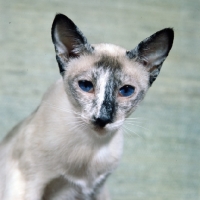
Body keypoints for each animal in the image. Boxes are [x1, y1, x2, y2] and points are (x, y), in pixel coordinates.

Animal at [0, 13, 173, 199]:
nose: (102, 118)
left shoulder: (96, 190)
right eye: (85, 85)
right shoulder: (29, 185)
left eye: (126, 90)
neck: (92, 145)